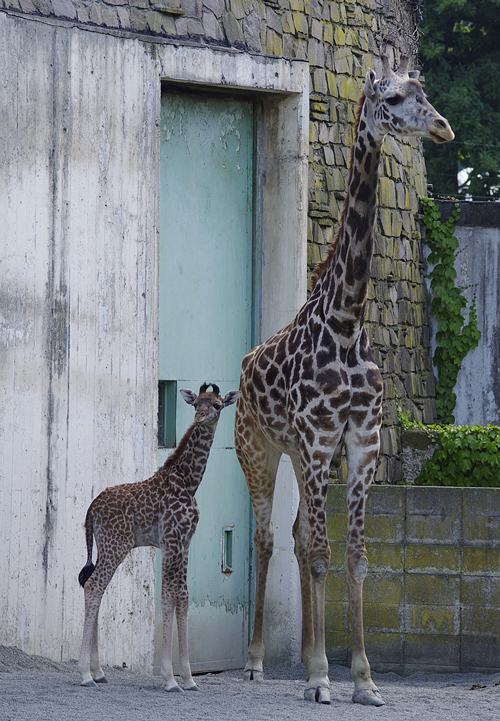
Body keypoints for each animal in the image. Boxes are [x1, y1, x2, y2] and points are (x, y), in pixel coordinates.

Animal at [78, 386, 240, 688]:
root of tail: (91, 509)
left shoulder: (186, 543)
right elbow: (167, 597)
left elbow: (183, 597)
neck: (189, 482)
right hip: (116, 545)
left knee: (93, 586)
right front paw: (170, 678)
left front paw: (188, 678)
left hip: (105, 547)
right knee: (94, 586)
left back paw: (99, 672)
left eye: (217, 405)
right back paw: (85, 674)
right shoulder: (170, 542)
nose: (200, 418)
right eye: (196, 404)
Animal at [234, 54, 454, 704]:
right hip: (259, 449)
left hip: (301, 455)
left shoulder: (360, 440)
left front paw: (360, 677)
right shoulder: (317, 437)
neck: (348, 319)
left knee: (298, 535)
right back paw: (257, 662)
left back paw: (307, 656)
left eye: (423, 92)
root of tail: (243, 368)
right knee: (268, 538)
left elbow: (353, 553)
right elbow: (323, 551)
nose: (441, 128)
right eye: (394, 99)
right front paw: (321, 679)